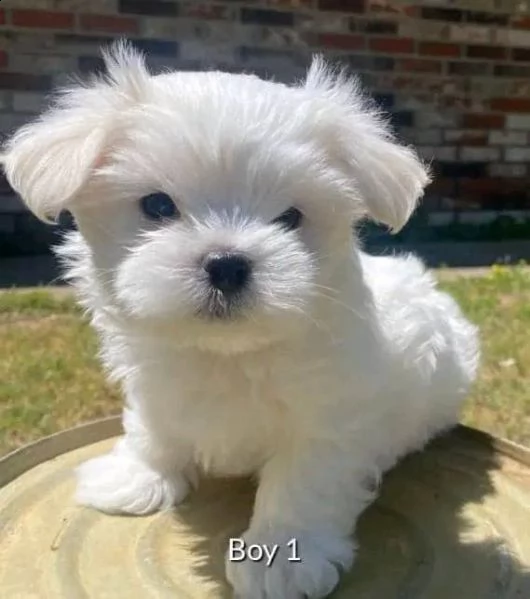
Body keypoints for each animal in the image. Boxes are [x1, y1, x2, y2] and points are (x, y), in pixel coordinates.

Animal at [2, 43, 476, 599]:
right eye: (157, 205)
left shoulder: (330, 416)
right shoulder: (154, 383)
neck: (227, 352)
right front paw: (138, 475)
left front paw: (283, 556)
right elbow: (153, 425)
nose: (227, 263)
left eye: (290, 218)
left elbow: (303, 481)